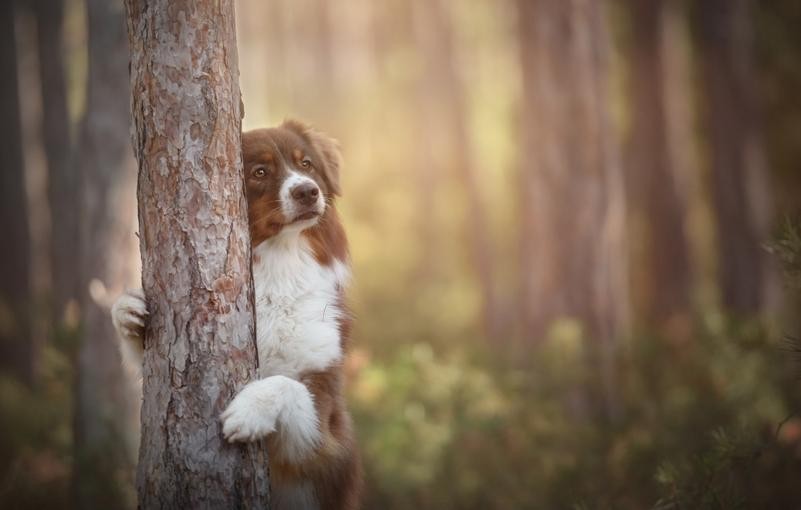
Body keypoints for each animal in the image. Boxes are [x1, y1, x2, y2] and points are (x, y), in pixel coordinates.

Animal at [111, 120, 360, 510]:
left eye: (306, 164)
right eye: (260, 172)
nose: (308, 191)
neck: (280, 264)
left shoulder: (325, 428)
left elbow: (286, 383)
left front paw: (249, 409)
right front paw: (128, 311)